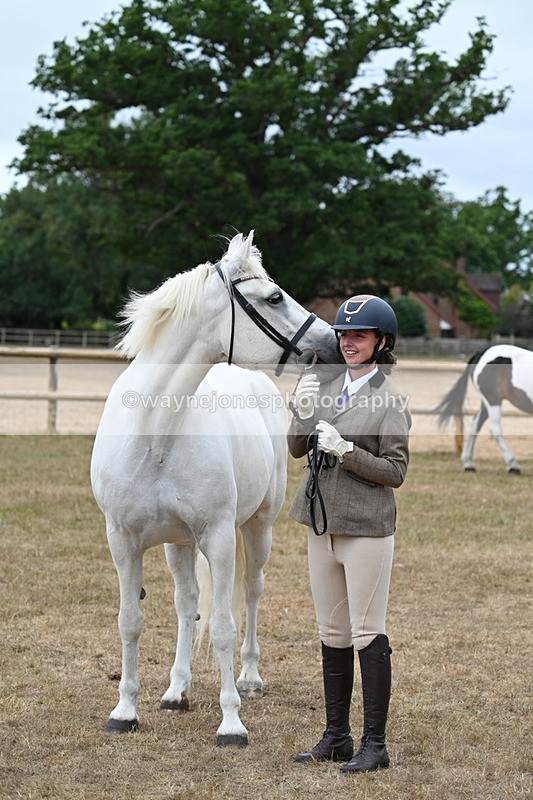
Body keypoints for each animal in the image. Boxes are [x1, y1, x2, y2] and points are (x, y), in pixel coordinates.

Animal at [90, 231, 341, 746]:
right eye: (274, 297)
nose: (333, 344)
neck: (156, 432)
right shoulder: (122, 541)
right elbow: (131, 623)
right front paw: (125, 711)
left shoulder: (221, 538)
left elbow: (224, 626)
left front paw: (231, 723)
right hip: (177, 544)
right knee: (187, 604)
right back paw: (176, 689)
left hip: (256, 530)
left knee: (251, 593)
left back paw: (249, 678)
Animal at [434, 344, 533, 473]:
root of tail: (480, 354)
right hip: (493, 400)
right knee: (495, 429)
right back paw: (513, 465)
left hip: (486, 403)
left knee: (475, 425)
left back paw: (468, 464)